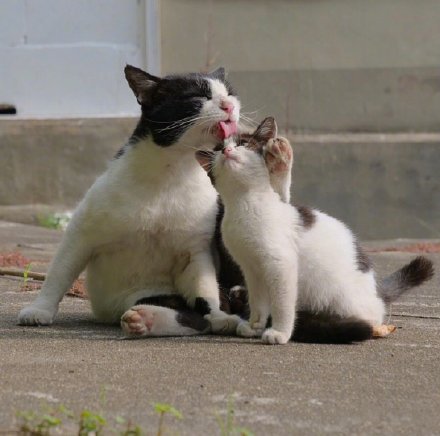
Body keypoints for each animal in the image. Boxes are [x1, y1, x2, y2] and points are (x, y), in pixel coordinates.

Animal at [18, 64, 244, 338]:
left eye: (230, 94)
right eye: (198, 97)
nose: (229, 105)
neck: (173, 171)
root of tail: (112, 313)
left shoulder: (195, 253)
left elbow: (205, 295)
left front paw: (219, 315)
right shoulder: (80, 234)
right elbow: (59, 273)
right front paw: (39, 310)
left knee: (202, 316)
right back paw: (143, 318)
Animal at [196, 118, 434, 344]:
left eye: (243, 144)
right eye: (218, 149)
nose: (227, 151)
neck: (244, 202)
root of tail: (377, 294)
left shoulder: (280, 263)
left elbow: (281, 302)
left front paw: (280, 333)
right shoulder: (252, 269)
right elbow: (258, 300)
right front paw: (255, 325)